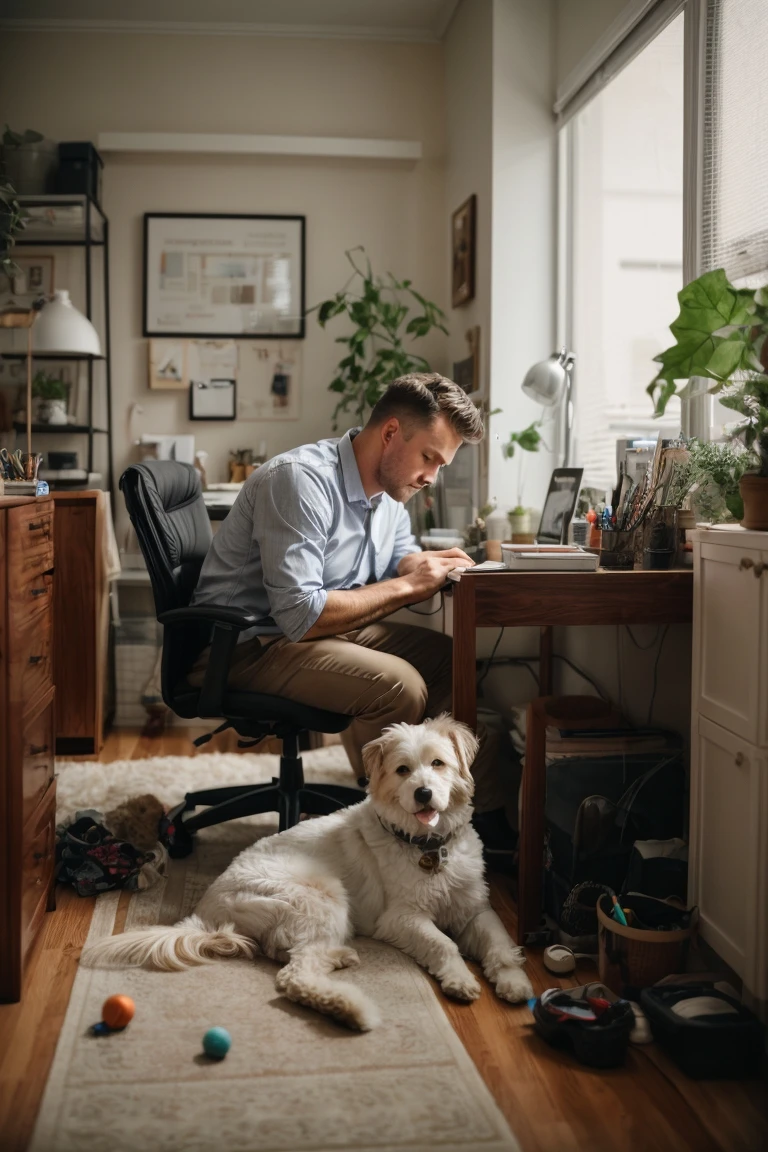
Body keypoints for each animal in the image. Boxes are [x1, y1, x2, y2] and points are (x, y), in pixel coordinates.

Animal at [81, 714, 531, 1032]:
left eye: (438, 763)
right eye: (403, 770)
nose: (423, 793)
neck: (428, 845)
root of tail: (207, 909)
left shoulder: (475, 907)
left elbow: (499, 941)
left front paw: (514, 982)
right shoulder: (401, 917)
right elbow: (443, 944)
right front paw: (460, 980)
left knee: (290, 956)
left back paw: (337, 959)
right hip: (322, 896)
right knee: (294, 977)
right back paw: (353, 1010)